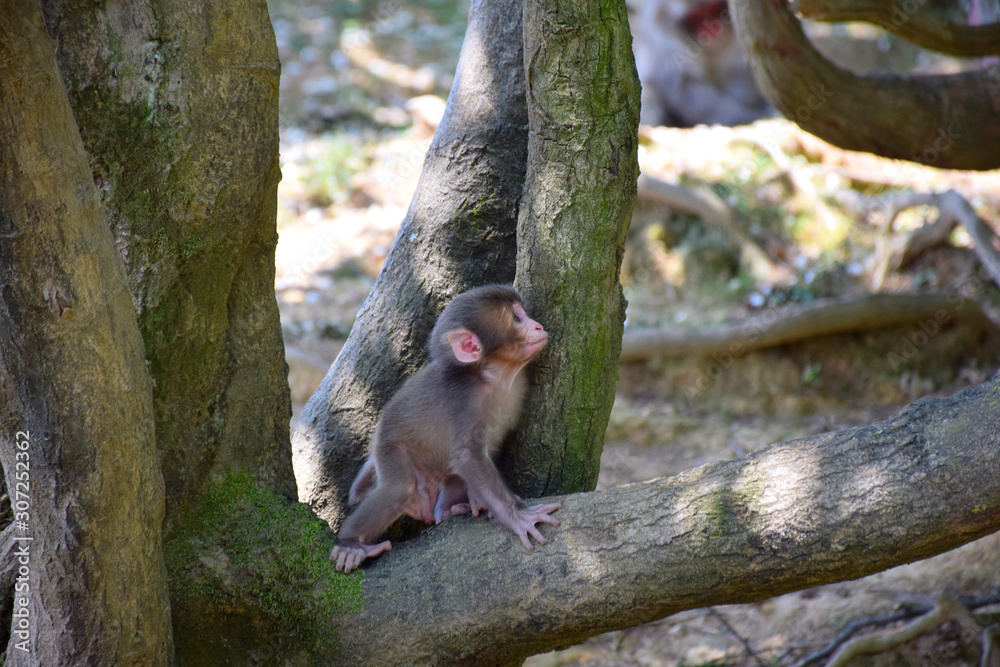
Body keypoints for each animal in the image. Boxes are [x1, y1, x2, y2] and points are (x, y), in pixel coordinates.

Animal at [331, 284, 561, 573]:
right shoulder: (468, 404)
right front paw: (517, 516)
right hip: (389, 448)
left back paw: (447, 510)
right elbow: (468, 456)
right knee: (400, 489)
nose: (538, 326)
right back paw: (350, 545)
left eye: (524, 315)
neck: (492, 376)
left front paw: (478, 500)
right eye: (517, 319)